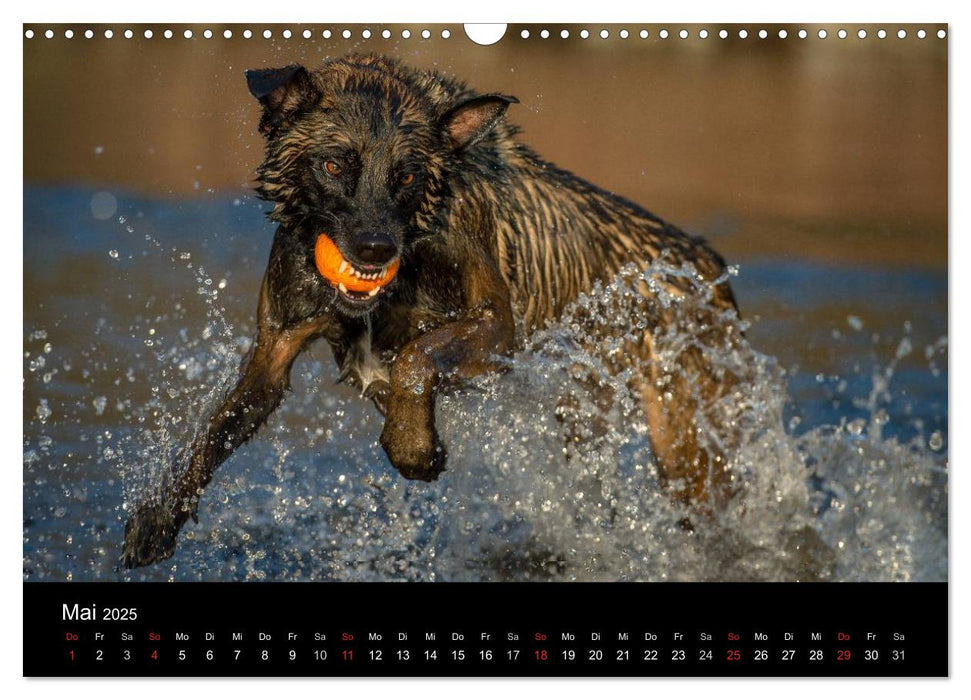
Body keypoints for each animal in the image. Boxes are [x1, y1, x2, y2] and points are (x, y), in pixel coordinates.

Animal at [125, 54, 740, 568]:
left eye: (407, 174)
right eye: (333, 165)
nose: (375, 249)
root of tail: (709, 266)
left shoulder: (496, 326)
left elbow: (414, 358)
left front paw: (414, 447)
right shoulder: (273, 354)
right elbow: (212, 436)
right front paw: (157, 520)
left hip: (689, 449)